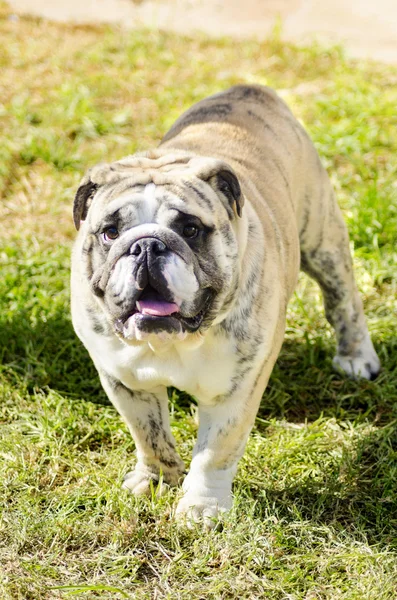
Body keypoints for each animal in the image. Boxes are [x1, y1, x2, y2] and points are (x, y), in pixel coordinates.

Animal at [69, 84, 378, 524]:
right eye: (110, 232)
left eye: (190, 229)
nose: (146, 245)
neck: (174, 342)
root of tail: (251, 90)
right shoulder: (125, 382)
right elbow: (149, 434)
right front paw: (156, 480)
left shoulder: (235, 393)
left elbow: (214, 453)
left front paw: (202, 507)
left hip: (323, 240)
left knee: (343, 298)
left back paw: (355, 356)